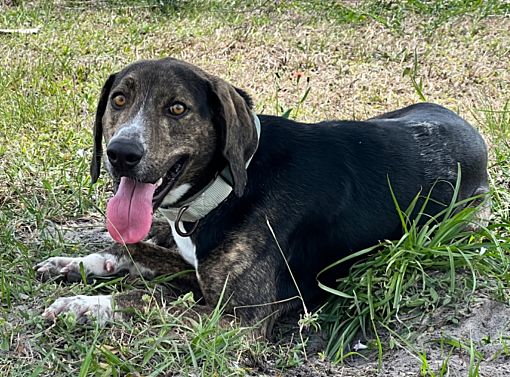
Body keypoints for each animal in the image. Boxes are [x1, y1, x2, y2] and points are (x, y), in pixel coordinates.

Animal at [36, 57, 490, 334]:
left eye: (178, 109)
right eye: (119, 99)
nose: (121, 154)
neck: (228, 187)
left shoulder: (240, 318)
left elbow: (151, 301)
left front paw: (88, 305)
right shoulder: (197, 268)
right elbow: (137, 252)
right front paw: (79, 265)